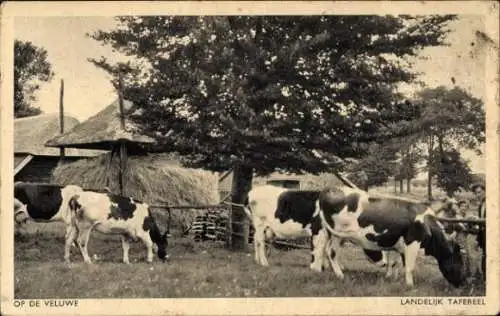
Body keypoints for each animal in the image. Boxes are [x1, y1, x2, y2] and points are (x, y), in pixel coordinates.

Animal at [247, 184, 394, 278]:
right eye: (375, 245)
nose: (385, 263)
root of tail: (252, 192)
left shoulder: (329, 233)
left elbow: (325, 250)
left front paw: (326, 267)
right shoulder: (319, 229)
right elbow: (319, 249)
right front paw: (317, 269)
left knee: (256, 241)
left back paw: (257, 261)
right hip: (260, 223)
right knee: (260, 242)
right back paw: (264, 263)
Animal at [318, 186, 466, 288]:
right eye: (458, 263)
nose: (461, 284)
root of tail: (331, 189)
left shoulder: (397, 244)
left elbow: (394, 263)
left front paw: (391, 278)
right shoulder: (413, 241)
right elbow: (409, 266)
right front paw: (409, 285)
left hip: (330, 233)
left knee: (324, 250)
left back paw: (325, 270)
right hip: (337, 233)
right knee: (331, 252)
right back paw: (340, 275)